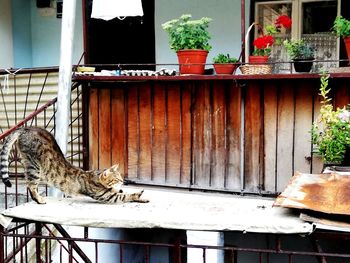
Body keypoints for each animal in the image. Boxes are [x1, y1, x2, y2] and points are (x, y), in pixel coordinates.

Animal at [0, 127, 148, 205]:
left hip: (28, 163)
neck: (95, 176)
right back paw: (39, 199)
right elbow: (124, 196)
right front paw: (138, 195)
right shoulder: (105, 196)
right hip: (34, 167)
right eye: (117, 178)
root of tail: (27, 128)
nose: (123, 181)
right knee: (31, 185)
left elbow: (120, 192)